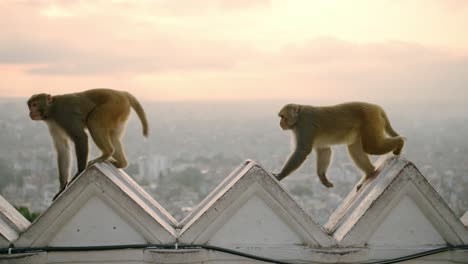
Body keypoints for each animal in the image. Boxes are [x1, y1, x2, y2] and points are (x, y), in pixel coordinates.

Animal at [272, 102, 404, 191]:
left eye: (282, 117)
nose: (280, 124)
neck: (298, 117)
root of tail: (377, 107)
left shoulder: (305, 125)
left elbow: (302, 151)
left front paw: (280, 175)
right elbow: (324, 151)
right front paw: (323, 178)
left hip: (371, 120)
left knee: (371, 147)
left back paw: (400, 141)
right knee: (354, 149)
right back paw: (369, 173)